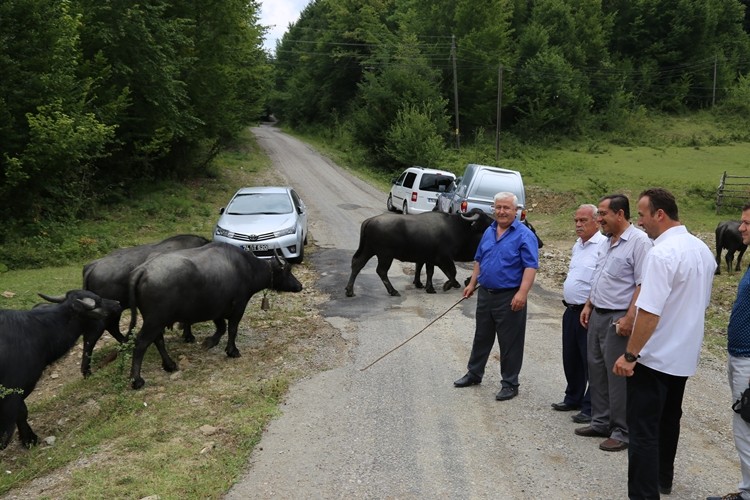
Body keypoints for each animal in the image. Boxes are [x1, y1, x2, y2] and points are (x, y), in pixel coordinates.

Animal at [0, 290, 120, 450]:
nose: (117, 303)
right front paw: (29, 439)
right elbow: (21, 412)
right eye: (99, 300)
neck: (39, 330)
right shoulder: (14, 389)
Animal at [128, 242, 304, 390]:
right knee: (142, 342)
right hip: (155, 320)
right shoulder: (239, 306)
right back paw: (137, 380)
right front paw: (232, 351)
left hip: (155, 320)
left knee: (157, 340)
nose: (299, 286)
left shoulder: (217, 310)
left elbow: (221, 328)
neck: (248, 268)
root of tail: (143, 270)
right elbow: (232, 329)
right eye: (288, 271)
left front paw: (209, 342)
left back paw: (169, 365)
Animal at [346, 210, 496, 296]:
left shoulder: (430, 259)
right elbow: (452, 272)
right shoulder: (443, 258)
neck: (456, 227)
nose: (494, 222)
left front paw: (430, 288)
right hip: (385, 255)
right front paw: (450, 285)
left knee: (357, 264)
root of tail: (370, 220)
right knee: (381, 271)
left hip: (368, 250)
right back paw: (393, 291)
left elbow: (430, 272)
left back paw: (349, 290)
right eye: (485, 218)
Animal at [412, 217, 548, 292]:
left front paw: (467, 281)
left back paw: (419, 283)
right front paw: (467, 281)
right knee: (427, 268)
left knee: (420, 265)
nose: (541, 243)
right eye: (532, 230)